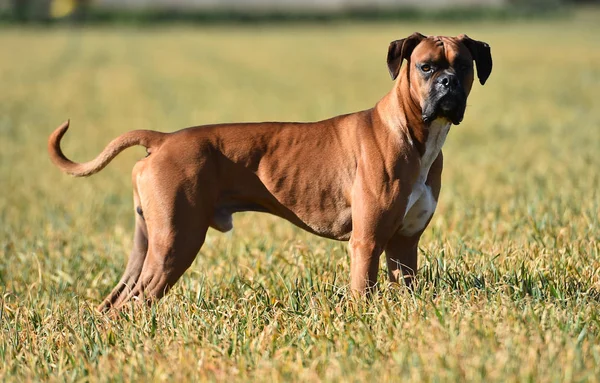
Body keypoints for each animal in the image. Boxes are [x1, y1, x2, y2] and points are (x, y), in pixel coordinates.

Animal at [48, 33, 492, 314]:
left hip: (149, 243)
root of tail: (163, 140)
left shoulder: (404, 247)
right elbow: (362, 294)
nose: (448, 84)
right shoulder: (367, 244)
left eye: (464, 67)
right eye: (426, 67)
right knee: (136, 301)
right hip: (176, 242)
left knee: (117, 301)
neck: (414, 134)